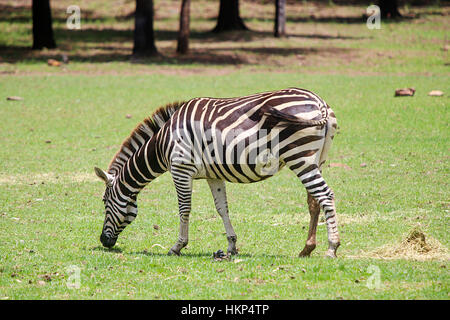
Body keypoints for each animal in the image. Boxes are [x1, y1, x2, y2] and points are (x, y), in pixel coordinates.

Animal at [96, 87, 342, 258]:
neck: (162, 143)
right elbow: (222, 208)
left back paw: (332, 248)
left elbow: (184, 209)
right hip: (317, 158)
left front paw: (177, 246)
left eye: (105, 202)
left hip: (300, 156)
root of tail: (319, 102)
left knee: (325, 195)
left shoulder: (180, 168)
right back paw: (307, 249)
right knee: (314, 201)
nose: (103, 241)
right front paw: (231, 245)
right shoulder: (213, 175)